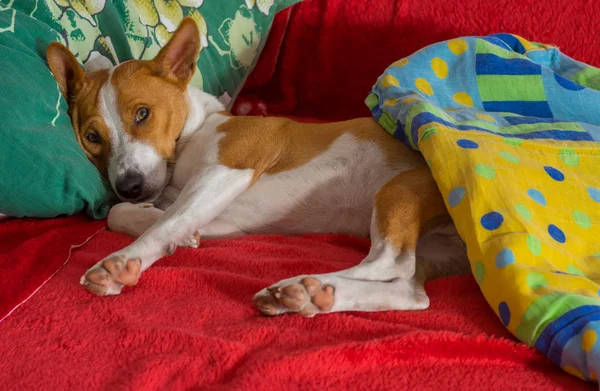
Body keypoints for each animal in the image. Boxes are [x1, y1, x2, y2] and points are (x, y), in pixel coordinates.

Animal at [47, 19, 468, 318]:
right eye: (91, 137)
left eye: (142, 114)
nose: (129, 186)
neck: (193, 139)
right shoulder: (225, 215)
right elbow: (130, 214)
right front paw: (175, 231)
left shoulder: (228, 170)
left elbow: (164, 222)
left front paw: (121, 262)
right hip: (432, 247)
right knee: (409, 291)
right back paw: (311, 295)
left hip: (400, 191)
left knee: (390, 262)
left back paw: (301, 285)